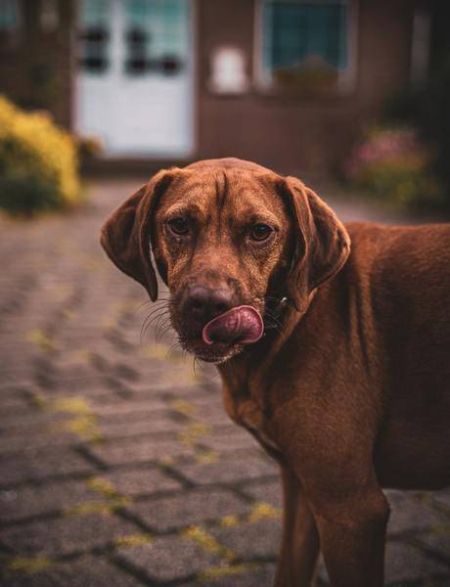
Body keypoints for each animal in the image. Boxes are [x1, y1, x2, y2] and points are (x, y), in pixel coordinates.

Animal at [101, 157, 450, 587]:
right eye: (179, 224)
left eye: (260, 231)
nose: (209, 304)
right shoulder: (305, 493)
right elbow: (289, 568)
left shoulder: (352, 510)